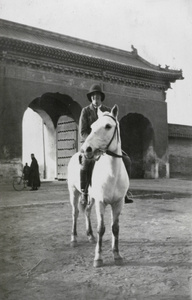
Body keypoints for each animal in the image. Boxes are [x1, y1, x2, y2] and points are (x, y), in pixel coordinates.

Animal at [67, 105, 129, 268]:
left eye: (108, 126)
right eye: (92, 127)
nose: (86, 149)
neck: (112, 174)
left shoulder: (118, 203)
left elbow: (115, 228)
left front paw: (117, 255)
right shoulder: (101, 202)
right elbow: (101, 228)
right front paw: (98, 258)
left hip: (92, 198)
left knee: (87, 211)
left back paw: (90, 236)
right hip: (74, 192)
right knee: (75, 213)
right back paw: (73, 239)